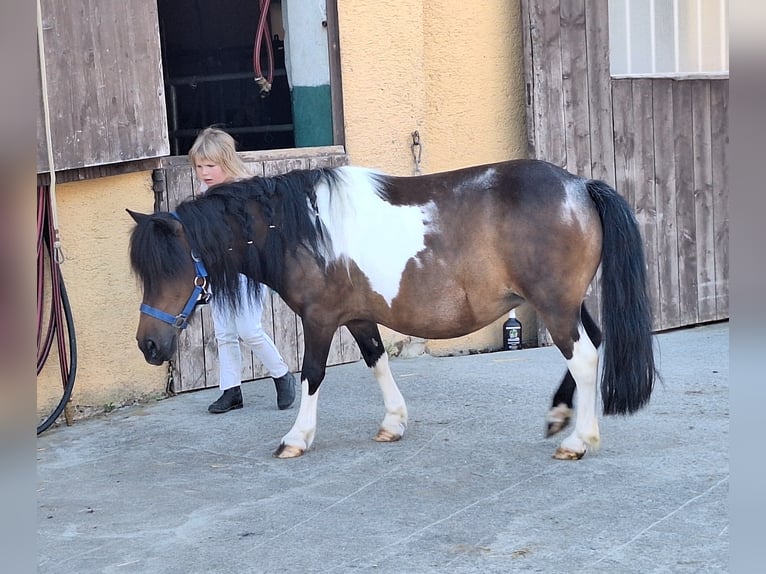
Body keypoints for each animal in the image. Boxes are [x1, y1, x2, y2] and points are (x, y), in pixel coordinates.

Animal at [128, 159, 656, 460]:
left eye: (171, 269)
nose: (148, 344)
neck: (301, 229)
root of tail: (580, 186)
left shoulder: (319, 318)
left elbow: (312, 374)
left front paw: (297, 438)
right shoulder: (359, 316)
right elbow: (376, 360)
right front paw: (393, 423)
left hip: (554, 304)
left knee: (584, 356)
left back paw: (578, 441)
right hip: (565, 302)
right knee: (592, 344)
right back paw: (559, 417)